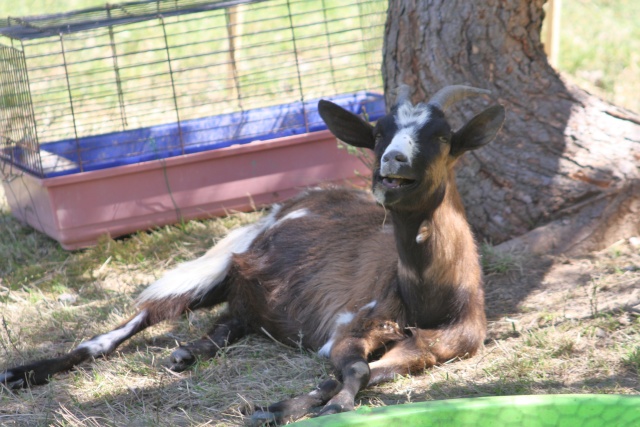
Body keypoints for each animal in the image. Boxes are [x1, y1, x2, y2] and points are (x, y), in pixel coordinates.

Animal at [2, 84, 508, 424]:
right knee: (134, 321)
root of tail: (294, 202)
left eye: (441, 136)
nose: (393, 164)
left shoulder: (440, 347)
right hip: (224, 262)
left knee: (233, 319)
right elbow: (356, 368)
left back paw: (188, 353)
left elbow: (371, 372)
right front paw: (306, 408)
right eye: (379, 133)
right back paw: (23, 374)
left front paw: (290, 407)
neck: (431, 296)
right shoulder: (348, 325)